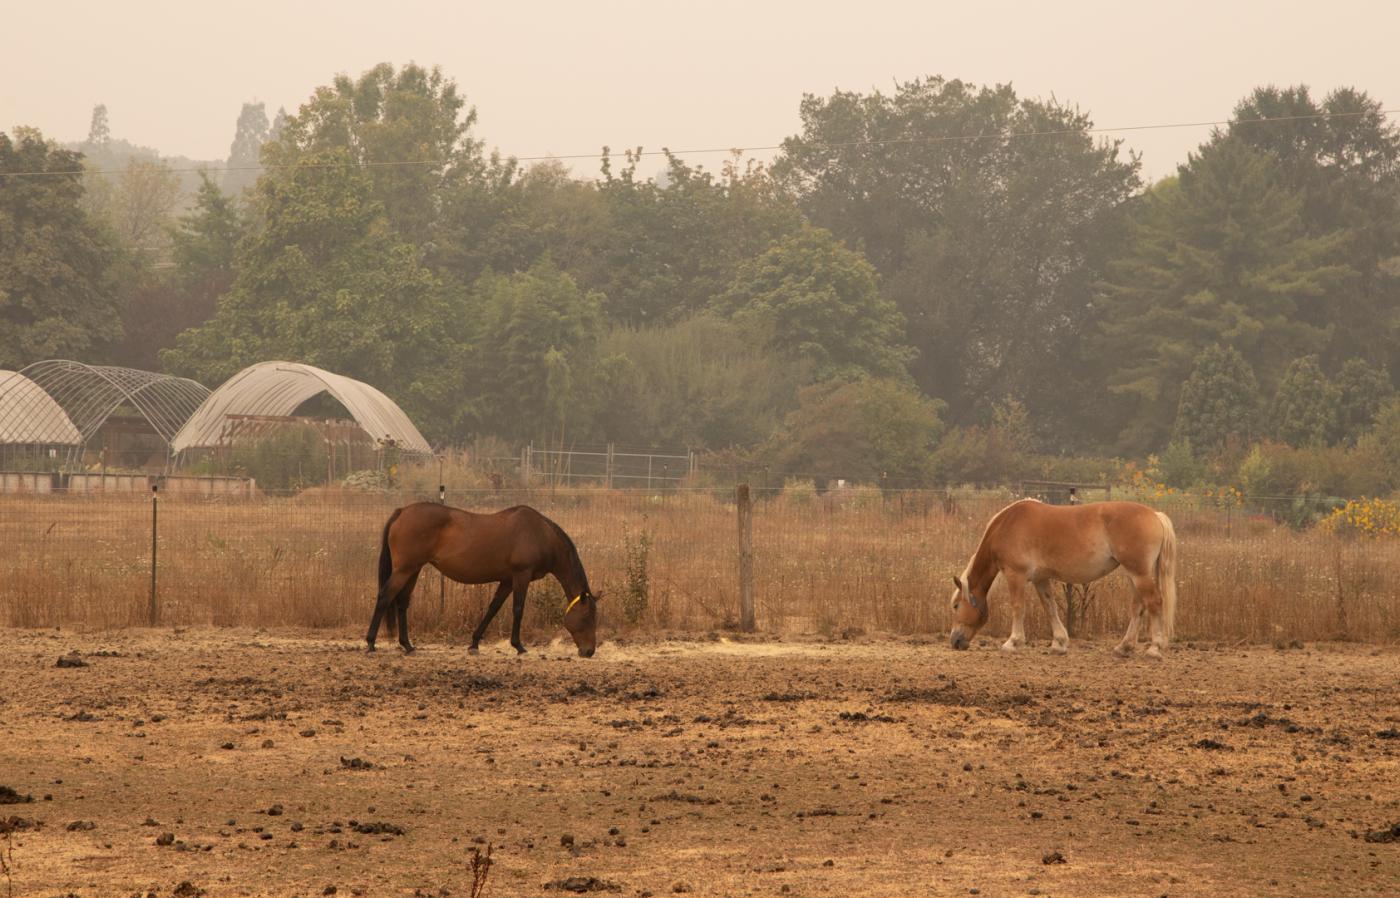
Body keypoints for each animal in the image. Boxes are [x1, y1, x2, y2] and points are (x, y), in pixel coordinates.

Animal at [365, 502, 600, 657]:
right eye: (587, 617)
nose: (589, 651)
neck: (540, 534)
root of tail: (402, 511)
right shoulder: (521, 576)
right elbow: (518, 609)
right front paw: (519, 646)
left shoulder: (507, 580)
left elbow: (493, 608)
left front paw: (474, 644)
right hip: (404, 570)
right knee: (385, 597)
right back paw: (371, 644)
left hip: (413, 570)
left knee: (402, 602)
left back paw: (407, 645)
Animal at [948, 499, 1177, 659]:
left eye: (956, 606)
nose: (954, 641)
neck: (1006, 525)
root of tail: (1155, 515)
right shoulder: (1040, 579)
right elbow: (1050, 607)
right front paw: (1059, 644)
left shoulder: (1016, 576)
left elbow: (1018, 608)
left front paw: (1012, 643)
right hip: (1134, 574)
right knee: (1138, 607)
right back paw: (1123, 647)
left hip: (1139, 573)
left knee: (1154, 602)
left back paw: (1154, 649)